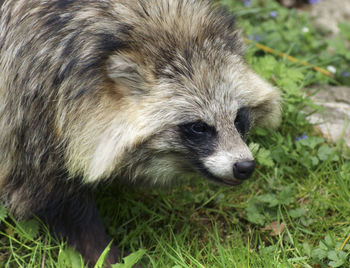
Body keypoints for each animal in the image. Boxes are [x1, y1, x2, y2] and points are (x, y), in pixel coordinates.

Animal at [0, 0, 280, 264]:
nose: (244, 167)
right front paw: (104, 254)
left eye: (239, 118)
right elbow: (53, 197)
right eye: (198, 127)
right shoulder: (31, 110)